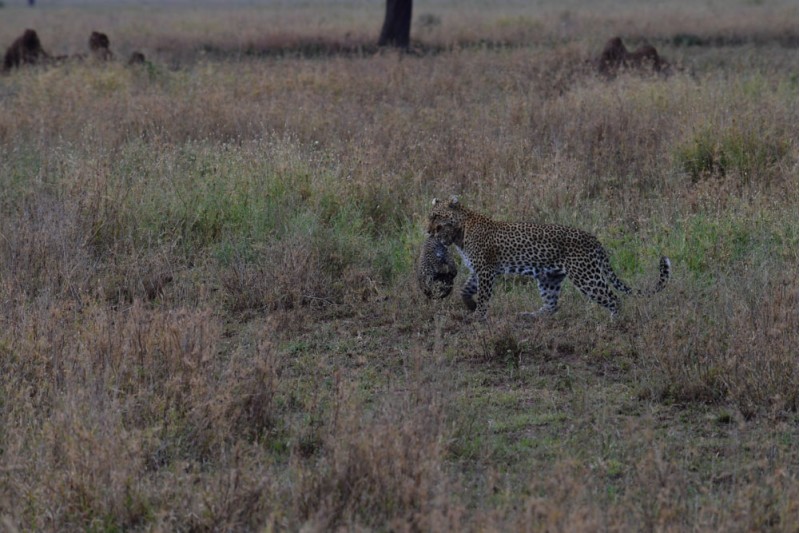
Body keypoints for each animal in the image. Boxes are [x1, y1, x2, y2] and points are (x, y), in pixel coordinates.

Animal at [428, 196, 672, 318]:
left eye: (436, 217)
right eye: (430, 216)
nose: (428, 231)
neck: (461, 231)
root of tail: (594, 239)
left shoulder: (487, 269)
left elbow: (485, 294)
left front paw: (479, 315)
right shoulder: (480, 269)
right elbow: (466, 288)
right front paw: (470, 304)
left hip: (585, 275)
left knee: (614, 298)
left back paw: (613, 324)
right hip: (549, 277)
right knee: (552, 304)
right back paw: (529, 316)